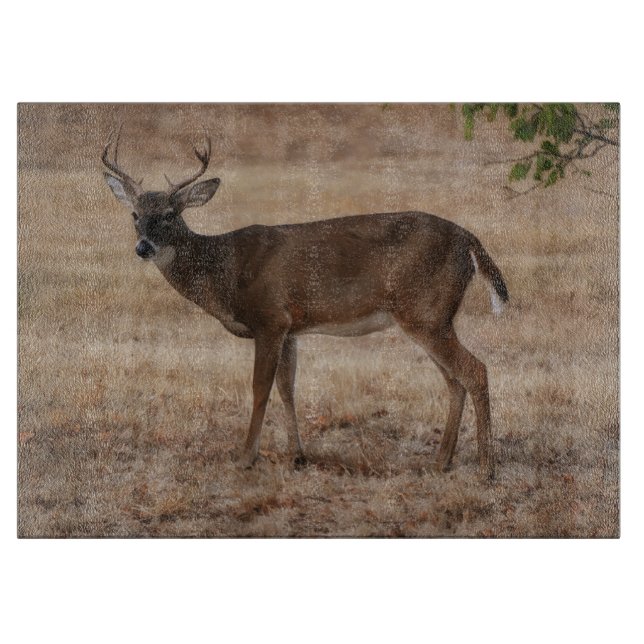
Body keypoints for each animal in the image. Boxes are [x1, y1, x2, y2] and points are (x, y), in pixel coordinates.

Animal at [102, 129, 508, 480]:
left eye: (170, 214)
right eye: (135, 214)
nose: (143, 247)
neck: (225, 271)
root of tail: (470, 240)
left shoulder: (269, 317)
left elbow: (260, 387)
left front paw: (246, 457)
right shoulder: (291, 327)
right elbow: (287, 387)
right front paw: (297, 455)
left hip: (425, 312)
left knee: (474, 370)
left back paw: (486, 468)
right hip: (431, 316)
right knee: (455, 380)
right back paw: (441, 461)